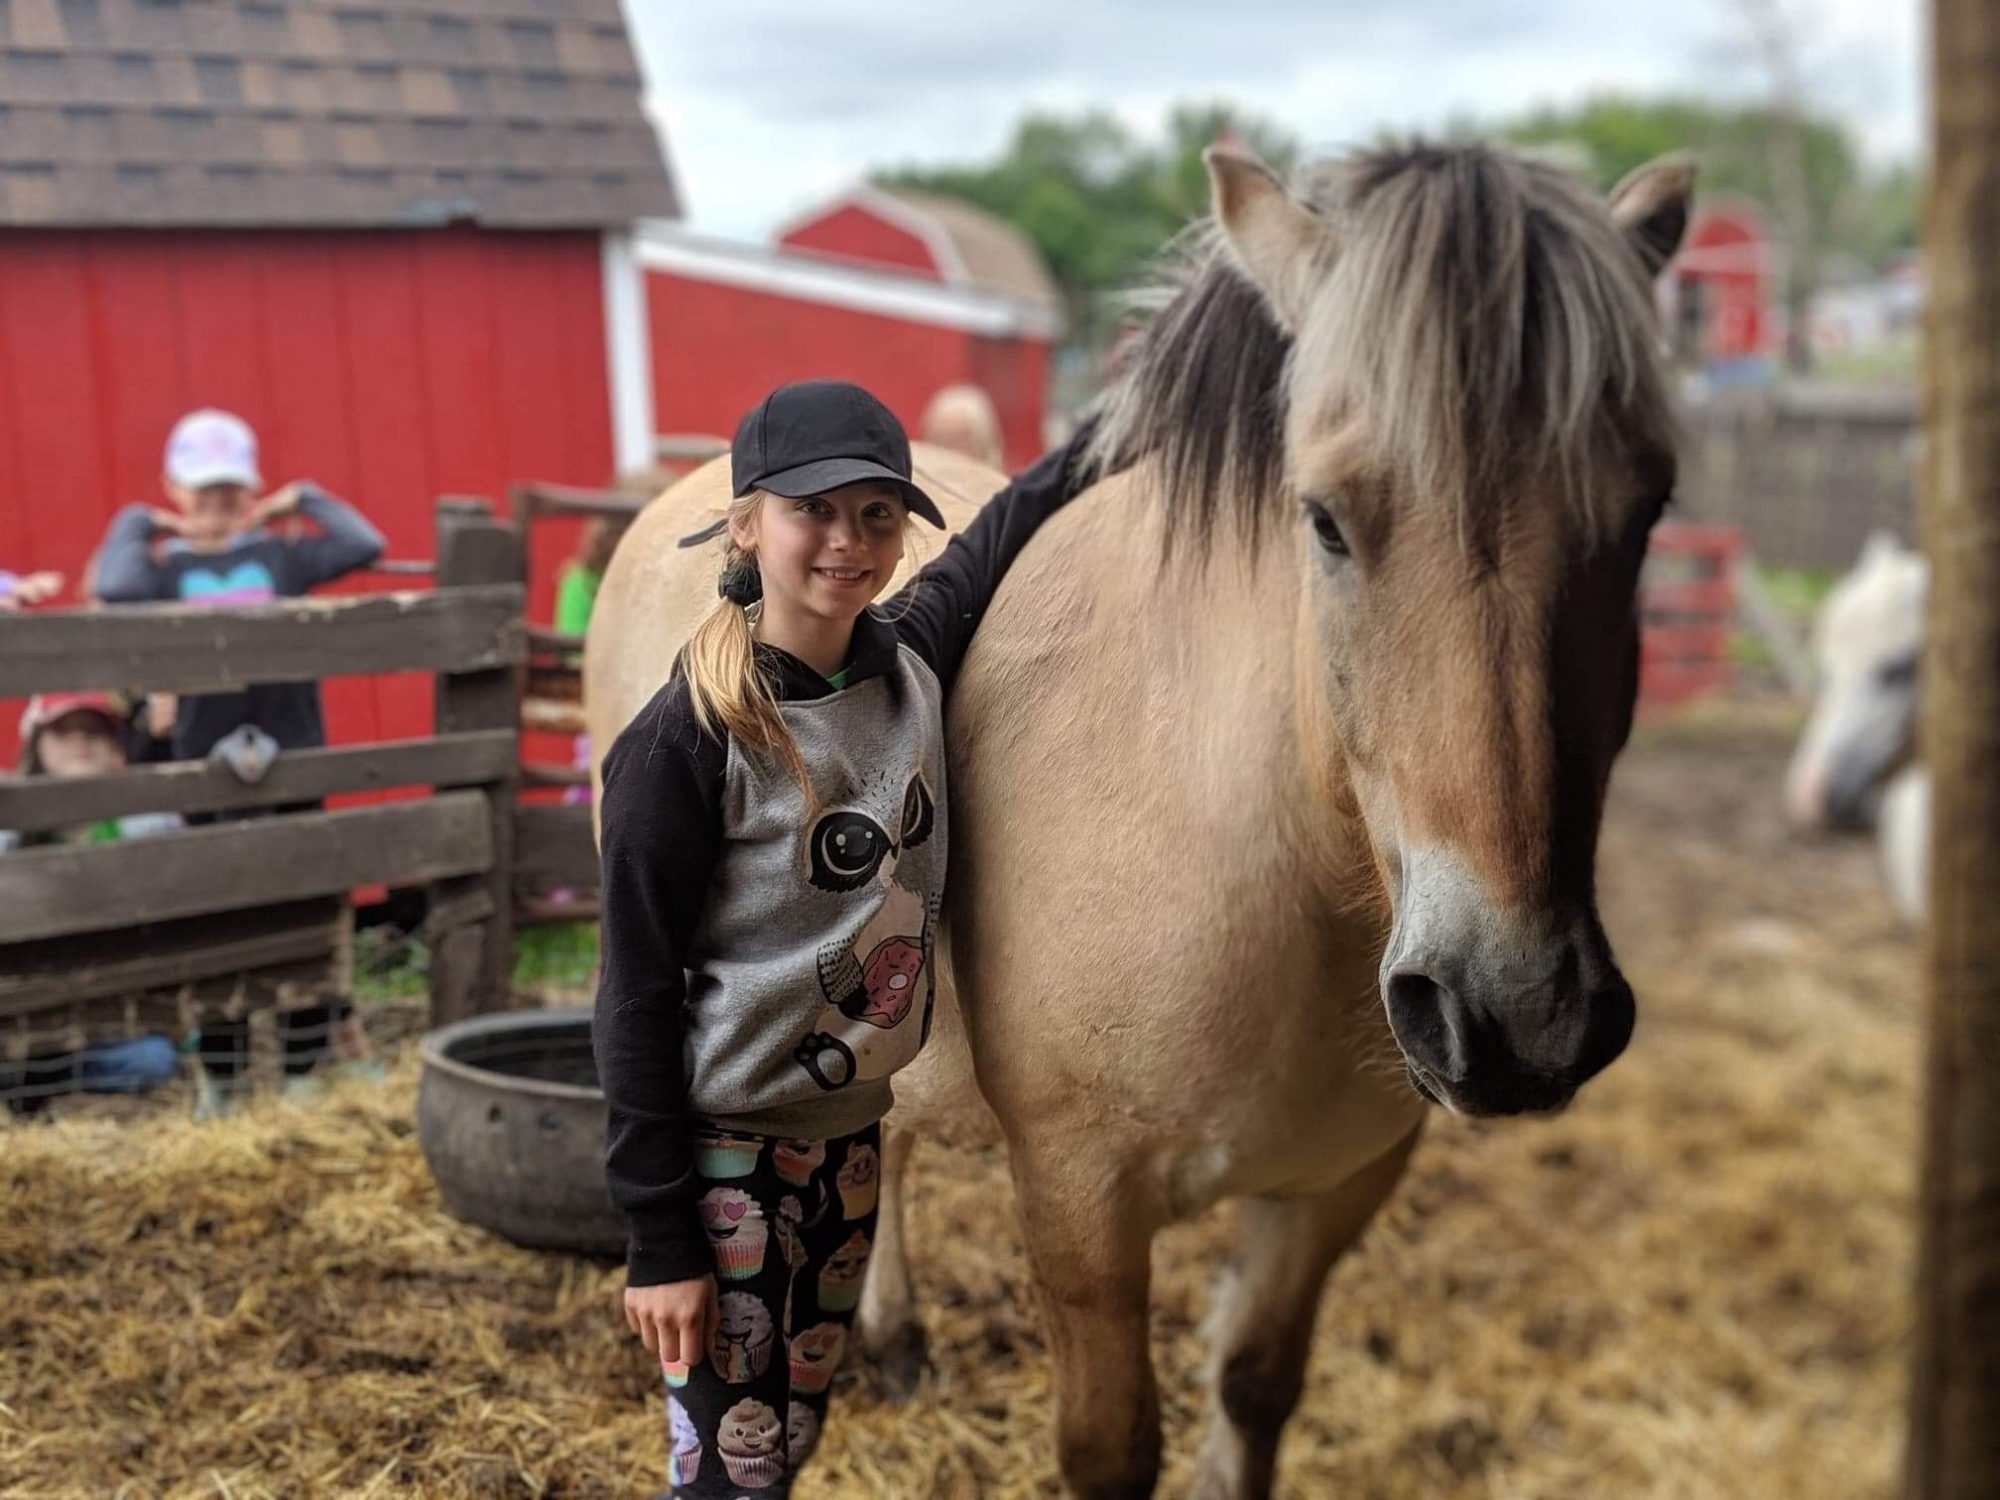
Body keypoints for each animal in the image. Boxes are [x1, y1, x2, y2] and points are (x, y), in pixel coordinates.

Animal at [584, 144, 1696, 1500]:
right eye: (1325, 519)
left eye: (1644, 515)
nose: (1517, 1013)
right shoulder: (1081, 1201)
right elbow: (1110, 1447)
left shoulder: (1333, 1192)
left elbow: (1253, 1387)